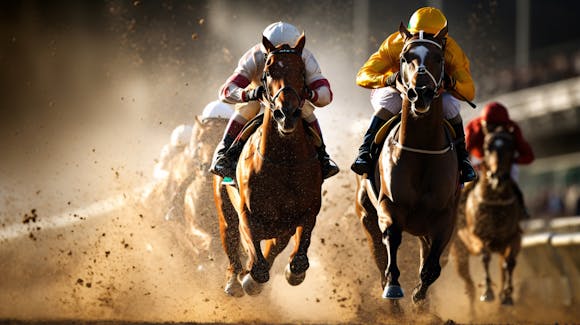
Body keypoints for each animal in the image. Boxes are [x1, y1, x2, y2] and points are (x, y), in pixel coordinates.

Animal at [213, 33, 324, 296]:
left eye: (302, 71)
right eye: (268, 70)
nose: (287, 114)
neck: (285, 163)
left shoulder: (306, 212)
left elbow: (298, 258)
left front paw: (293, 272)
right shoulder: (246, 215)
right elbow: (258, 264)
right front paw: (249, 278)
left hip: (281, 228)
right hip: (224, 211)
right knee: (231, 241)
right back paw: (234, 280)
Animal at [356, 24, 460, 306]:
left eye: (439, 59)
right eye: (404, 58)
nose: (420, 93)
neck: (422, 152)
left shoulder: (445, 217)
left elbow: (432, 268)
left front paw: (420, 296)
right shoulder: (389, 206)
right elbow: (391, 241)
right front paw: (394, 286)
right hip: (366, 214)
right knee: (380, 258)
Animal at [450, 123, 524, 306]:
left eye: (511, 147)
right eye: (487, 147)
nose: (497, 177)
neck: (495, 203)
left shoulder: (514, 237)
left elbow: (509, 262)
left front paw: (507, 296)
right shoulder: (477, 236)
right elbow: (485, 256)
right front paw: (488, 292)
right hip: (458, 252)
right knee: (468, 284)